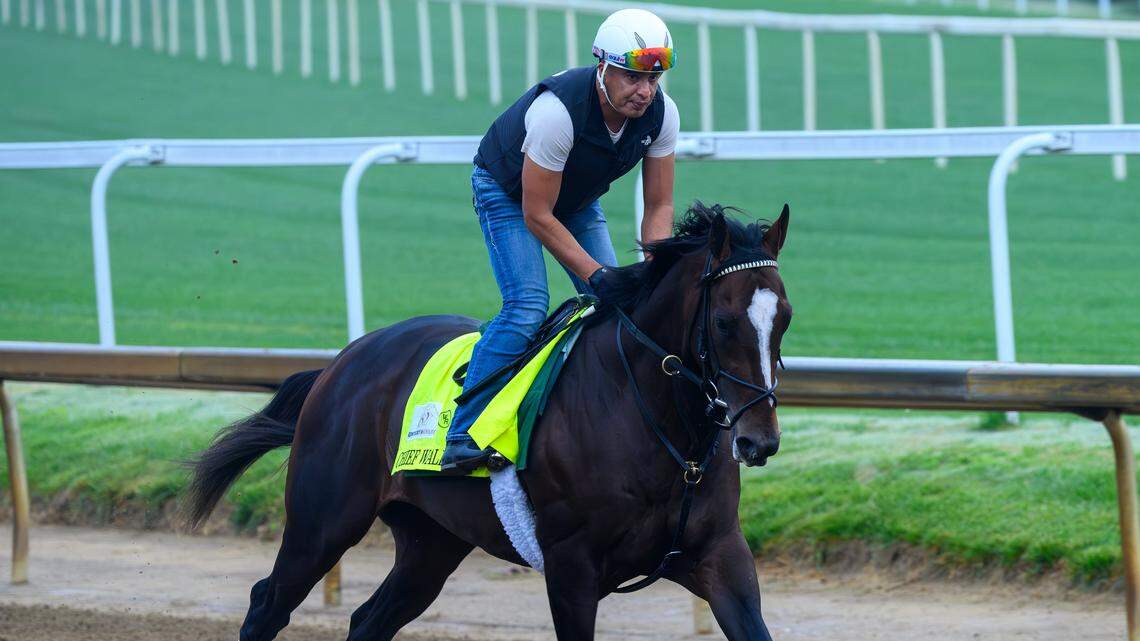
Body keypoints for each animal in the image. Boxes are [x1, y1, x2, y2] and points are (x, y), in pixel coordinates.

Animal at [182, 202, 793, 641]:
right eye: (723, 321)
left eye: (784, 317)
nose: (757, 440)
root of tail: (340, 364)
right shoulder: (572, 569)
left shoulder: (720, 555)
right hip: (322, 522)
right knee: (267, 603)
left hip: (431, 542)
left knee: (368, 619)